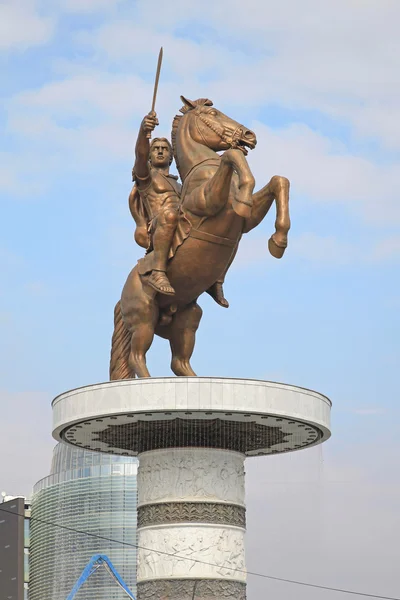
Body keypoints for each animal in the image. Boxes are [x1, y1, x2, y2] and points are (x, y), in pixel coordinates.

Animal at [109, 97, 290, 380]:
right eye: (213, 113)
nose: (250, 135)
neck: (202, 170)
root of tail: (122, 295)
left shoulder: (247, 222)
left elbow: (279, 181)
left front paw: (278, 241)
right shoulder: (209, 202)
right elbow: (232, 156)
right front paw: (244, 194)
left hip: (188, 318)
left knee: (179, 362)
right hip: (143, 317)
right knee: (137, 357)